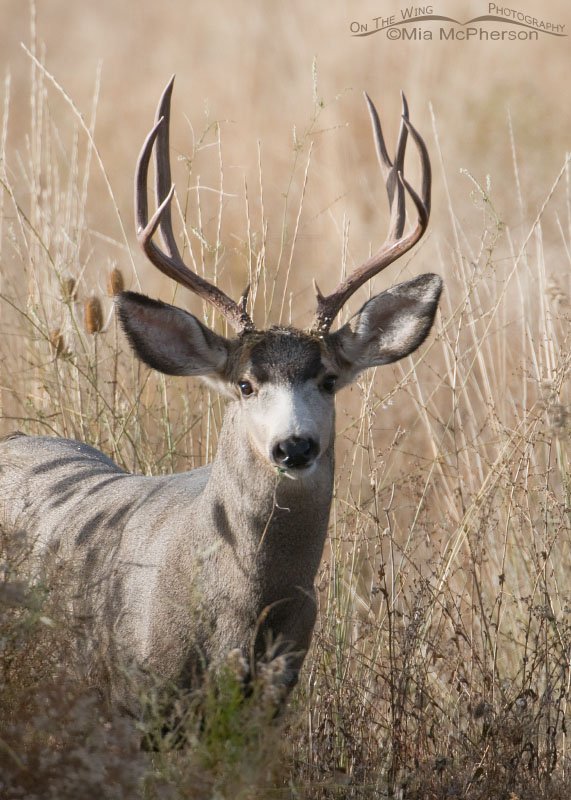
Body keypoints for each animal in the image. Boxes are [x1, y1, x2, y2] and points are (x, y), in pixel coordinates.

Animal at [0, 77, 441, 718]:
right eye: (245, 384)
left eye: (328, 380)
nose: (294, 447)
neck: (245, 613)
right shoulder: (140, 692)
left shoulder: (274, 696)